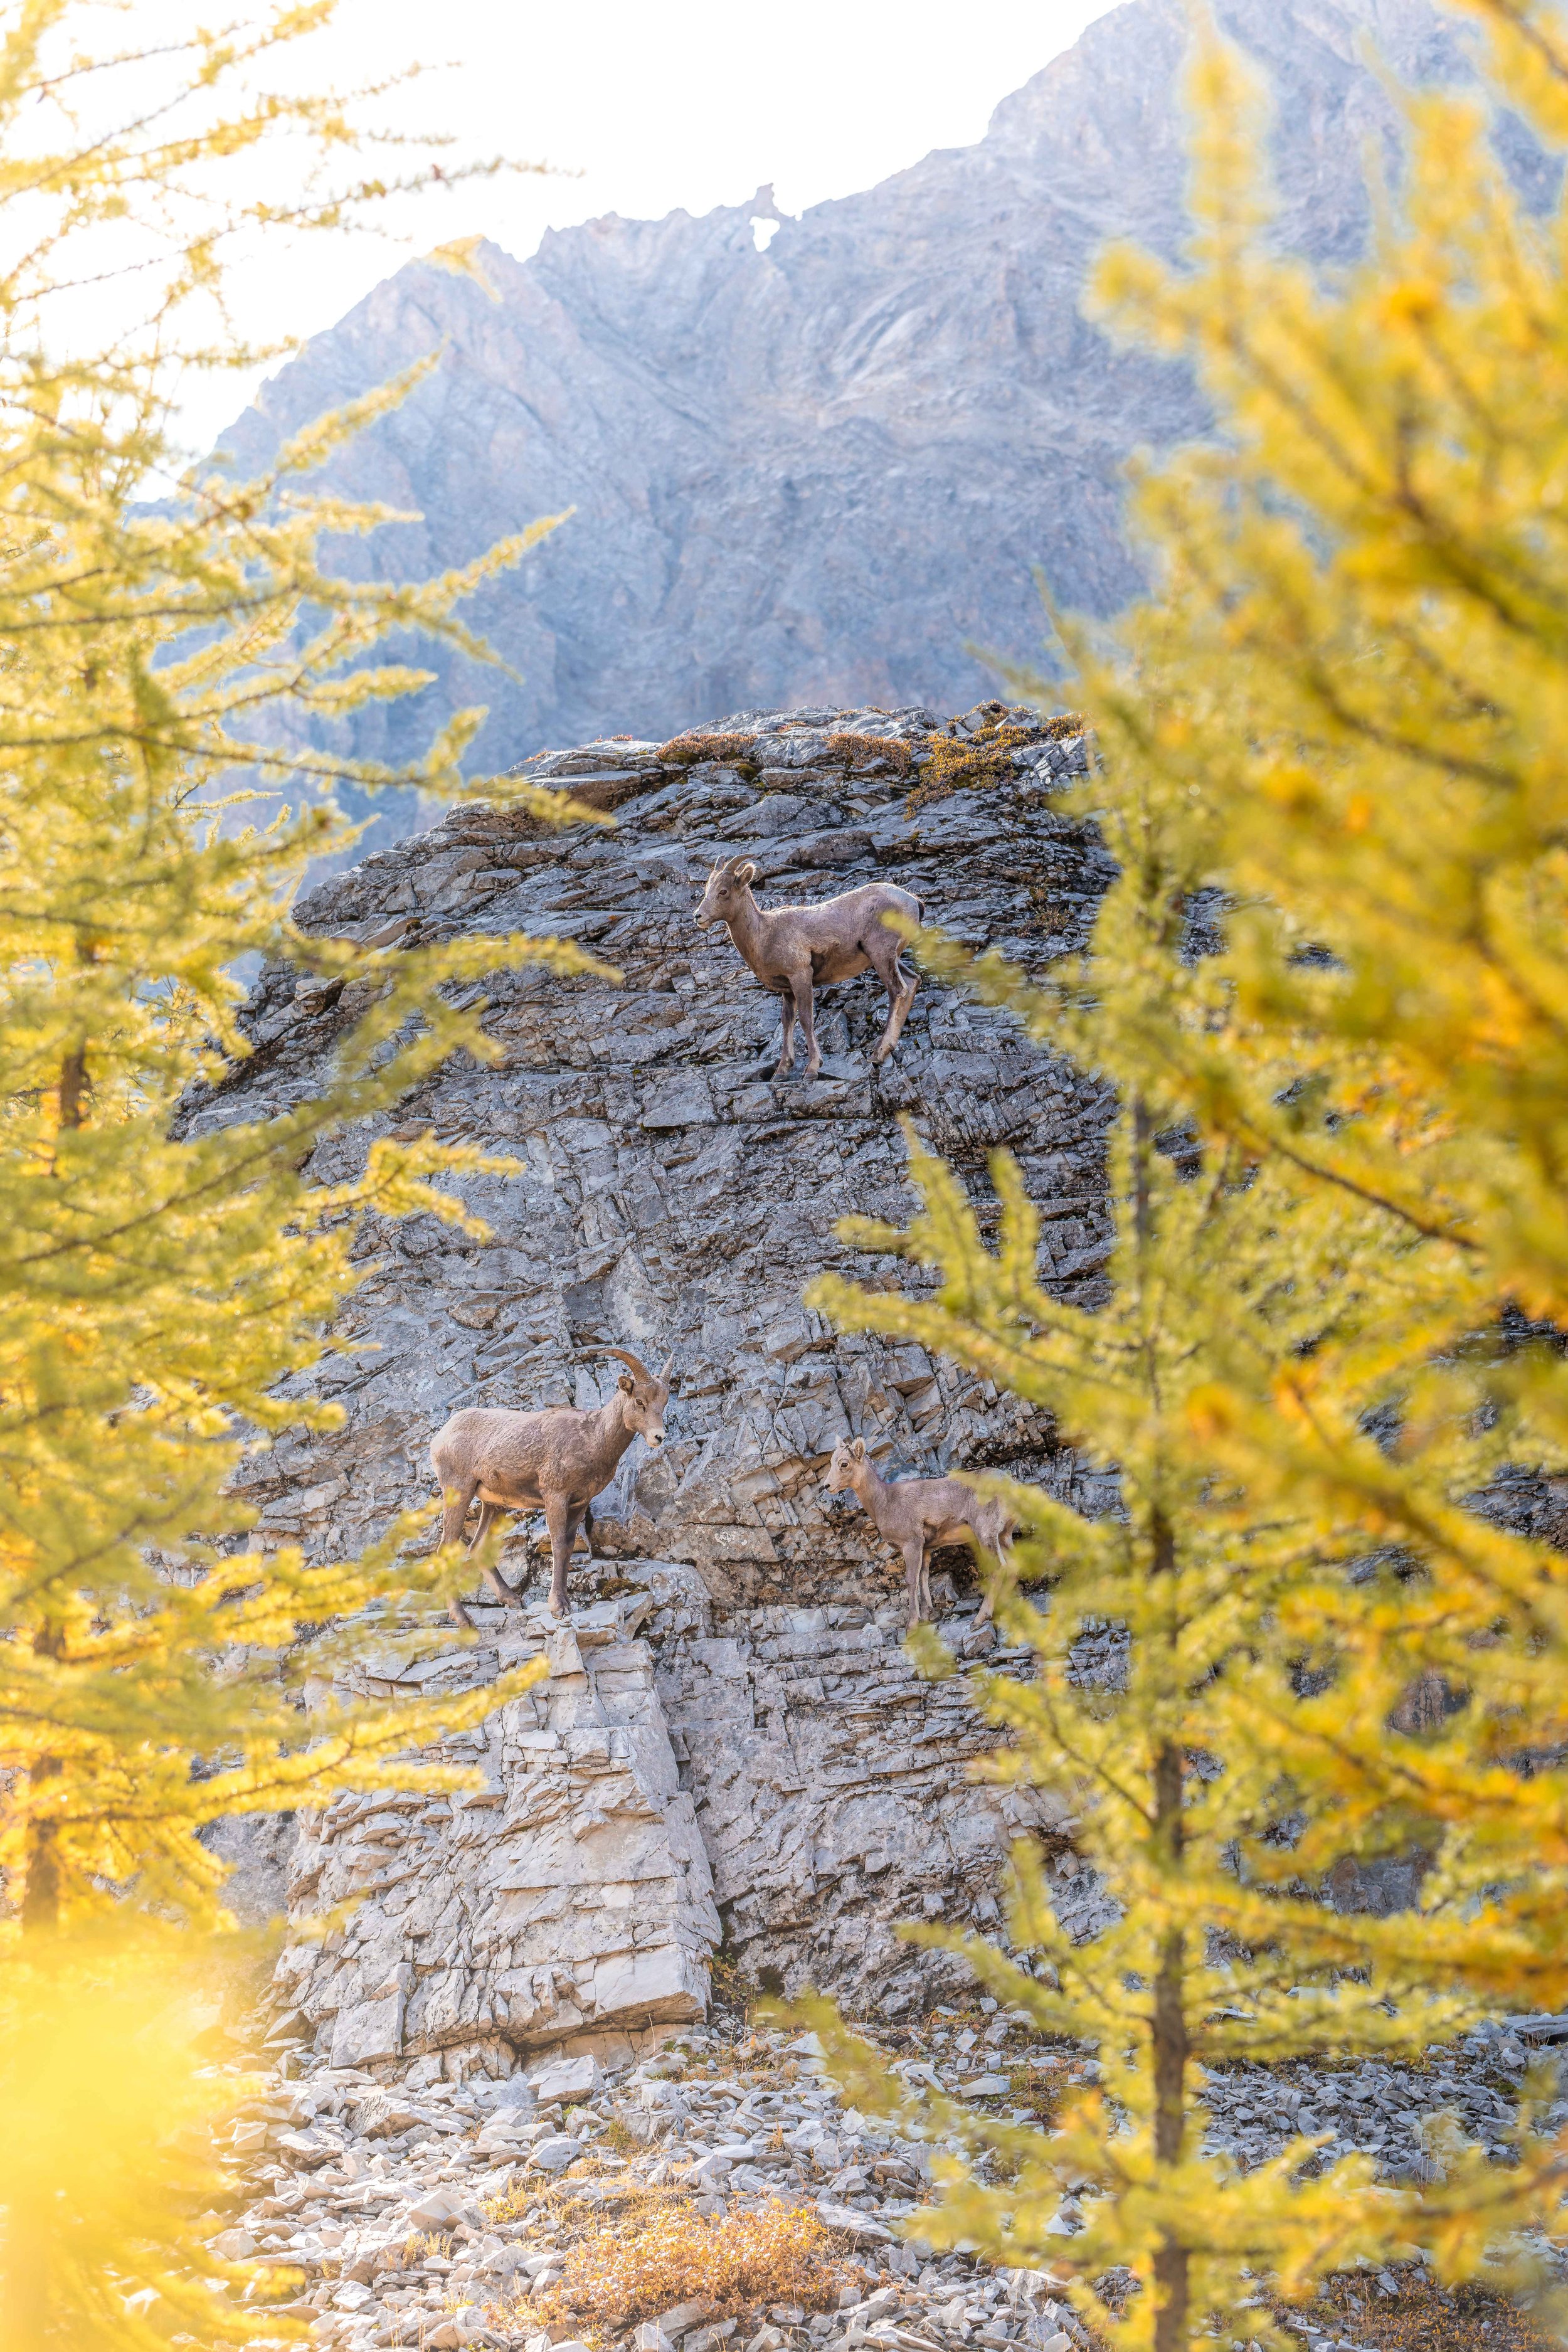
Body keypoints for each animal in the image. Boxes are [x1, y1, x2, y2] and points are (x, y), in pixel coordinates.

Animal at [430, 1355, 677, 1628]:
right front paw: (558, 1608)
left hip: (495, 1505)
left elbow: (568, 1547)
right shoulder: (556, 1497)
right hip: (459, 1491)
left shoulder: (579, 1503)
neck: (591, 1438)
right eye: (639, 1401)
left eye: (664, 1402)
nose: (658, 1437)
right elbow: (557, 1545)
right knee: (446, 1550)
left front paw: (565, 1603)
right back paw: (463, 1619)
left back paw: (513, 1601)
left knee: (477, 1548)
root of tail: (441, 1437)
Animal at [696, 861, 926, 1077]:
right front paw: (782, 1071)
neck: (764, 934)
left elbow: (806, 1019)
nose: (698, 916)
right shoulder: (787, 990)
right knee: (912, 981)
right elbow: (787, 1021)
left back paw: (878, 1053)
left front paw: (812, 1069)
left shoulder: (801, 977)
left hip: (881, 955)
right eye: (707, 889)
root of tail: (913, 901)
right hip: (889, 958)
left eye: (723, 891)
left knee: (898, 991)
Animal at [822, 1439, 1020, 1628]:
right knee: (1014, 1566)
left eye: (844, 1464)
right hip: (1003, 1536)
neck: (884, 1502)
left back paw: (979, 1619)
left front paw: (912, 1625)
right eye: (832, 1462)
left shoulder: (911, 1544)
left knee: (999, 1568)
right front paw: (926, 1618)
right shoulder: (926, 1549)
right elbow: (924, 1577)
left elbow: (912, 1580)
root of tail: (1011, 1486)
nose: (827, 1486)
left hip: (985, 1532)